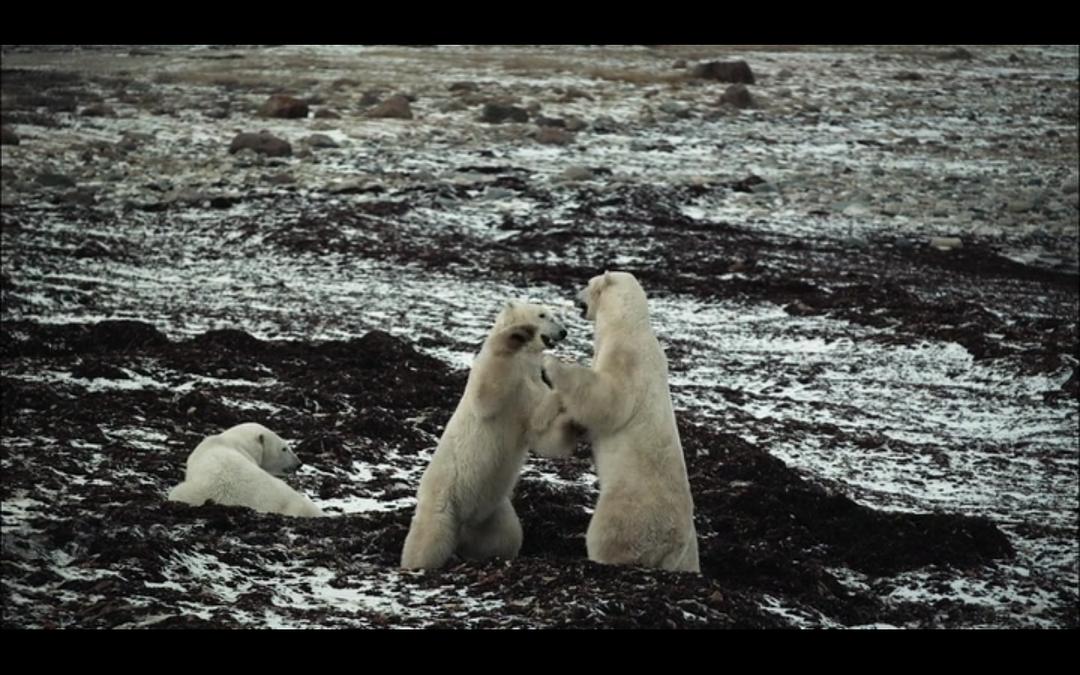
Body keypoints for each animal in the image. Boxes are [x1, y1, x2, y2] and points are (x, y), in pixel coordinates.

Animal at [403, 300, 574, 570]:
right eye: (542, 315)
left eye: (556, 315)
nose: (564, 332)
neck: (523, 366)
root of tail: (465, 526)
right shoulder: (501, 381)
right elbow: (487, 394)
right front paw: (515, 336)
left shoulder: (531, 390)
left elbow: (540, 431)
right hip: (444, 502)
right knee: (429, 538)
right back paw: (417, 566)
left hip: (495, 512)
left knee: (507, 536)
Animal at [537, 271, 699, 570]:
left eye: (588, 284)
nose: (574, 296)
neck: (628, 323)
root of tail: (674, 545)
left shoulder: (628, 356)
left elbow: (608, 398)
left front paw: (550, 364)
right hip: (688, 552)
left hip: (630, 506)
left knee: (610, 531)